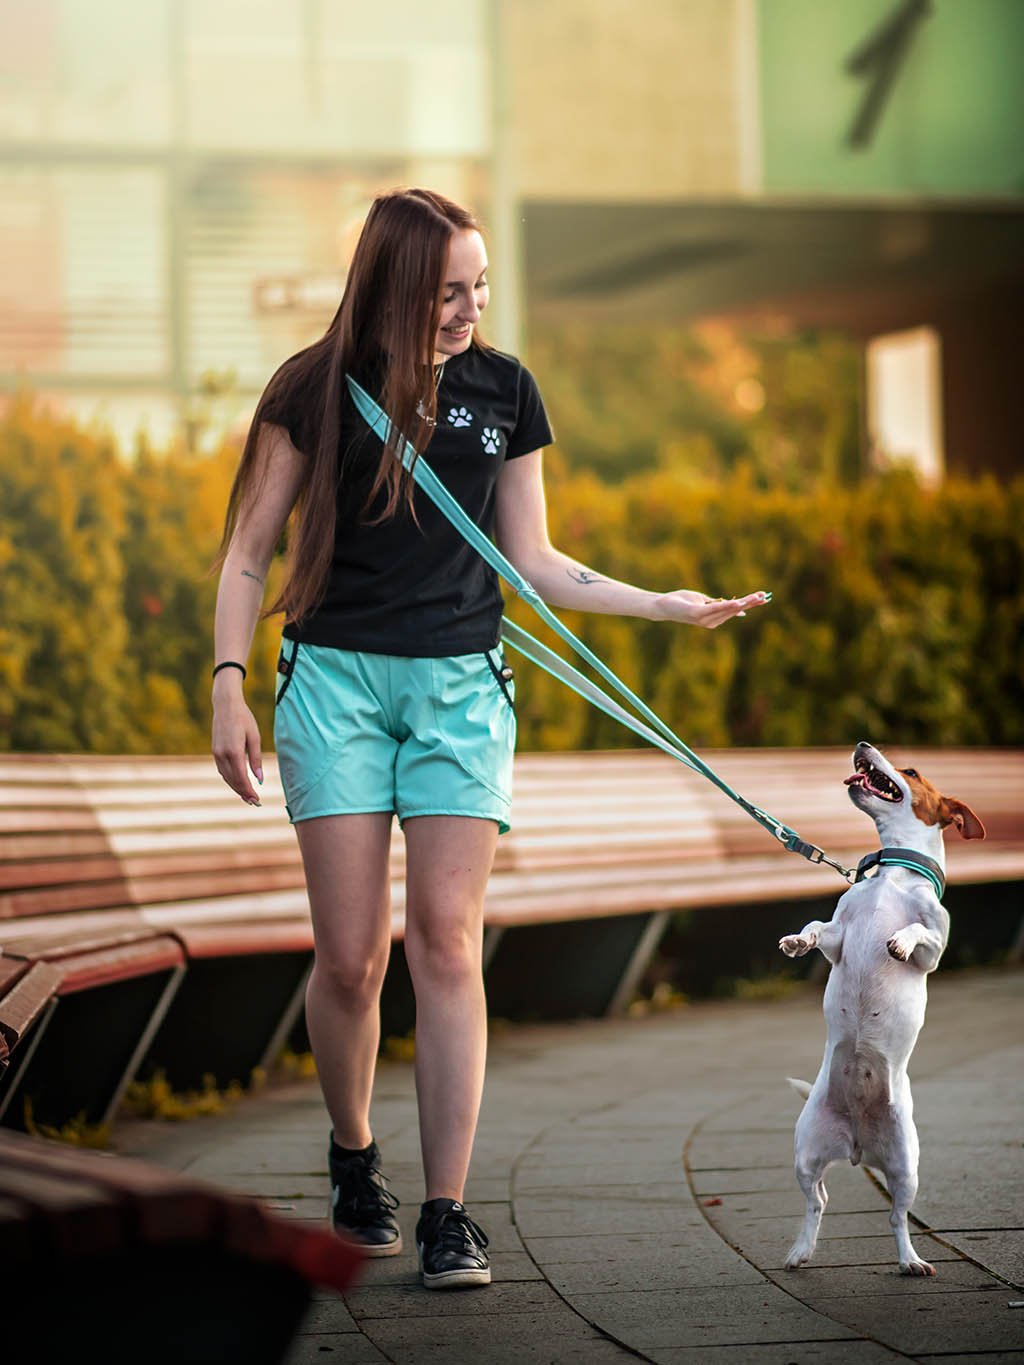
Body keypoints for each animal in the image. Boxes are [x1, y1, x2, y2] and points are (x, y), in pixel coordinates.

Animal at [780, 742, 988, 1272]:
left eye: (911, 770)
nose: (862, 745)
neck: (893, 877)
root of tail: (857, 1145)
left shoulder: (935, 951)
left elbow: (918, 932)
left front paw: (898, 940)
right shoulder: (838, 937)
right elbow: (818, 928)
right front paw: (797, 941)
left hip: (905, 1166)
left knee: (896, 1217)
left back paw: (910, 1260)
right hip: (806, 1152)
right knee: (817, 1200)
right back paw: (800, 1250)